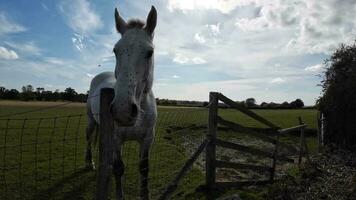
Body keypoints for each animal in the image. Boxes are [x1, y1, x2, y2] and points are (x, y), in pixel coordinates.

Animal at [85, 6, 157, 200]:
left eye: (150, 52)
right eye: (115, 50)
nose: (123, 110)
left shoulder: (148, 139)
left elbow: (144, 169)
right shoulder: (117, 139)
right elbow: (119, 169)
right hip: (91, 121)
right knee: (88, 137)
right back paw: (90, 163)